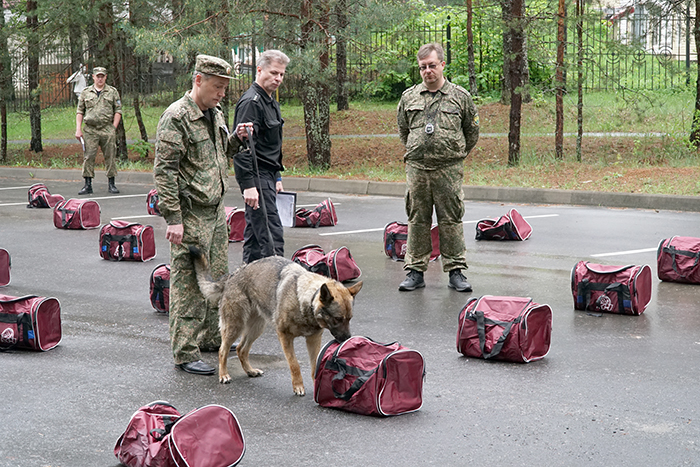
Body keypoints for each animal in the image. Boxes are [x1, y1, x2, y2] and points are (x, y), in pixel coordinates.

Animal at [189, 247, 364, 396]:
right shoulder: (285, 337)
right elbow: (294, 364)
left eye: (349, 319)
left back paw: (249, 370)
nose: (348, 339)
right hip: (235, 326)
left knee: (241, 349)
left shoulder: (313, 340)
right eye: (337, 319)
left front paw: (317, 385)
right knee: (222, 350)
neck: (305, 299)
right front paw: (298, 386)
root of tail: (233, 274)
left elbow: (315, 364)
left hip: (256, 328)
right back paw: (224, 374)